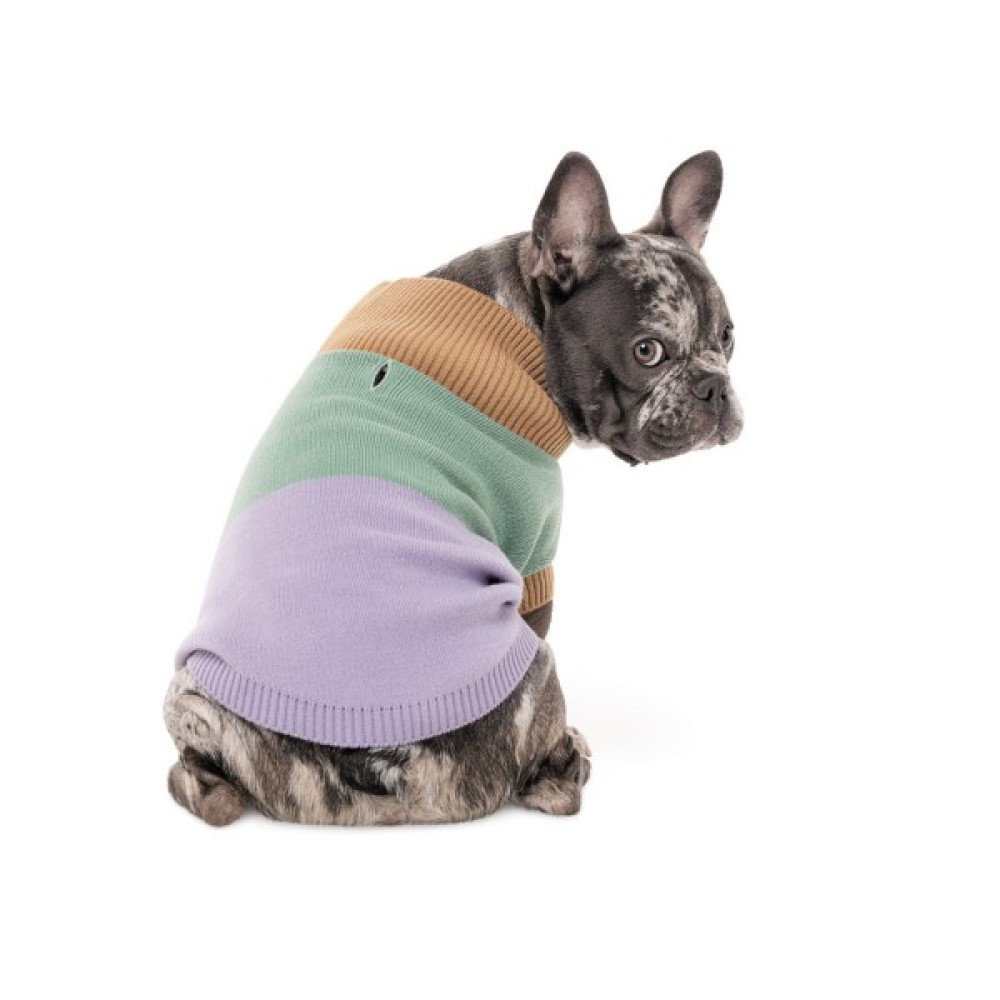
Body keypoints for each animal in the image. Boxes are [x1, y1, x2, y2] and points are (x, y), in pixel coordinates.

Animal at [164, 150, 742, 826]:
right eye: (646, 351)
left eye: (728, 338)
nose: (715, 387)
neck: (518, 319)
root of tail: (370, 766)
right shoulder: (533, 550)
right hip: (535, 663)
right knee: (549, 783)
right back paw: (567, 760)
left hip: (190, 692)